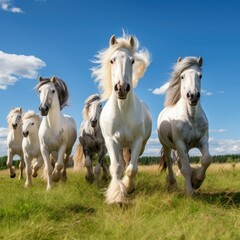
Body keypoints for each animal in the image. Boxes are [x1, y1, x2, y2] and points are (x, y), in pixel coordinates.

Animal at [92, 32, 152, 203]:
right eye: (112, 60)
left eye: (132, 61)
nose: (122, 88)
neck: (122, 111)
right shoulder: (112, 141)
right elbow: (116, 168)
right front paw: (117, 196)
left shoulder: (137, 141)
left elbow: (132, 169)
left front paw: (128, 186)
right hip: (119, 146)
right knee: (121, 164)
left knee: (130, 164)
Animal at [158, 57, 212, 196]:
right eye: (182, 76)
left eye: (200, 75)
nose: (192, 95)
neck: (191, 118)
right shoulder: (180, 143)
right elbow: (186, 168)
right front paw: (189, 192)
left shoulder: (203, 140)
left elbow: (206, 160)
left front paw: (196, 181)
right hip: (167, 145)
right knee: (170, 162)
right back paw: (172, 184)